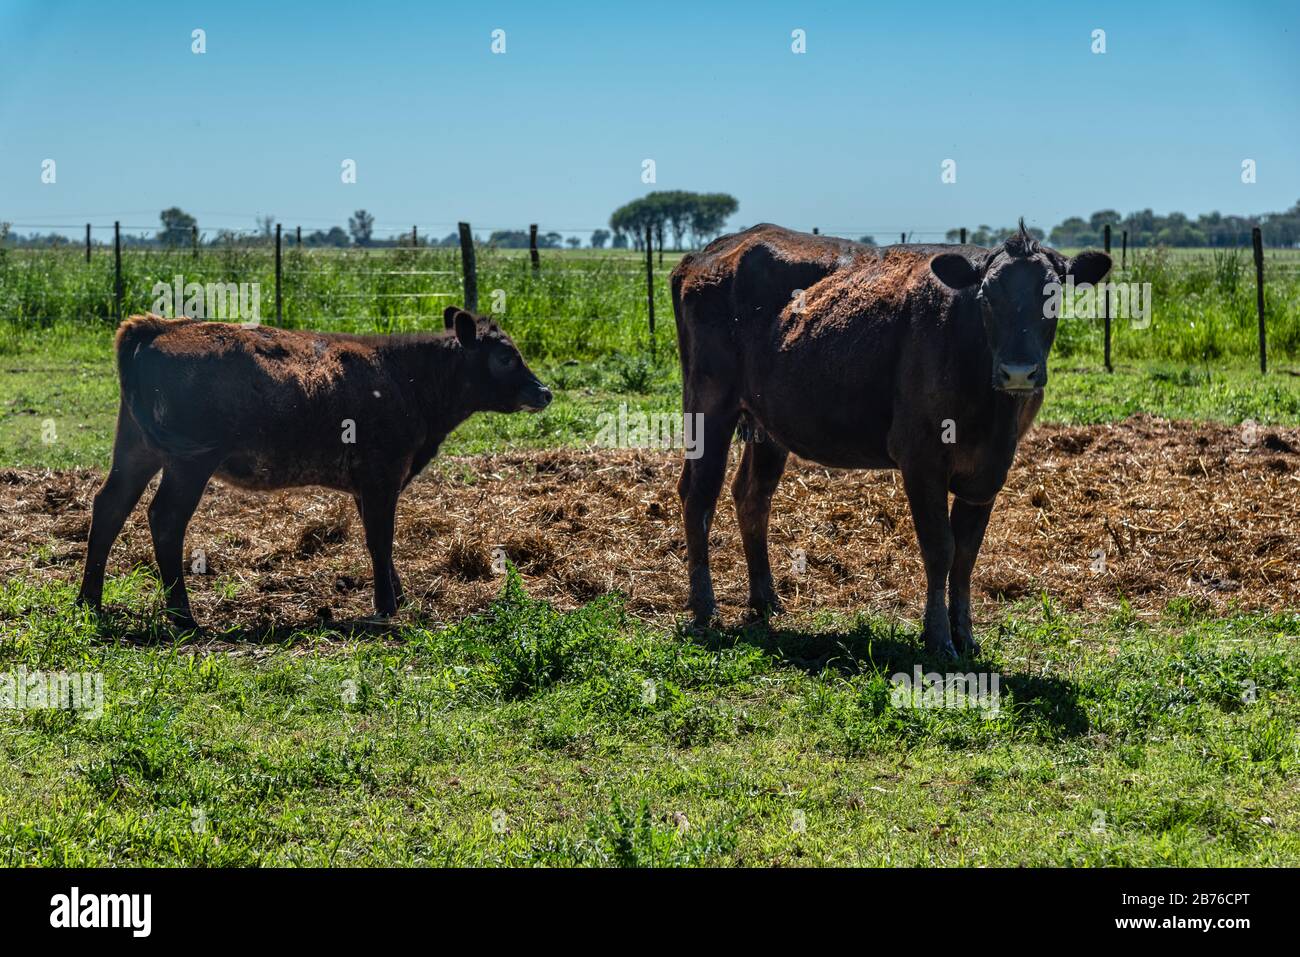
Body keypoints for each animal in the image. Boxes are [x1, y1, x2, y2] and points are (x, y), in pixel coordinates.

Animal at [77, 306, 552, 629]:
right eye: (506, 357)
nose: (544, 392)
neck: (407, 379)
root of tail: (157, 325)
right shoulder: (382, 476)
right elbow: (380, 540)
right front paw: (385, 606)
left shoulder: (368, 485)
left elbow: (380, 544)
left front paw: (398, 596)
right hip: (190, 461)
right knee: (165, 519)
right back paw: (183, 616)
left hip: (137, 450)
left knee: (109, 507)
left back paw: (89, 601)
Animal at [670, 222, 1111, 658]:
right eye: (986, 296)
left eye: (1053, 295)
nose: (1018, 371)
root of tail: (711, 251)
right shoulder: (920, 456)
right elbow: (940, 548)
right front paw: (938, 638)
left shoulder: (989, 469)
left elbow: (966, 554)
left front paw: (965, 634)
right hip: (709, 404)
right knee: (699, 496)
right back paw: (704, 605)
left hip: (767, 422)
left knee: (751, 495)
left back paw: (764, 599)